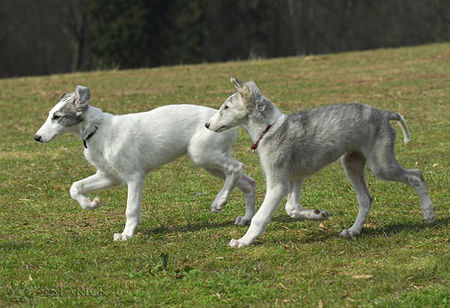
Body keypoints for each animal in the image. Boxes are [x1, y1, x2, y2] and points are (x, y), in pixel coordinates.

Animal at [33, 86, 255, 241]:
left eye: (57, 116)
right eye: (50, 115)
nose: (37, 137)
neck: (97, 129)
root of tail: (226, 123)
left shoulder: (134, 177)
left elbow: (131, 209)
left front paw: (126, 234)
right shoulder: (109, 176)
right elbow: (75, 187)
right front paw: (90, 204)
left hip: (201, 155)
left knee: (237, 168)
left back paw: (219, 202)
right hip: (210, 163)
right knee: (248, 182)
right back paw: (246, 218)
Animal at [206, 78, 434, 247]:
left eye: (226, 107)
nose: (207, 125)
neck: (270, 129)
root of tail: (384, 113)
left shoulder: (278, 183)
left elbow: (259, 217)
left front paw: (243, 241)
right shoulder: (295, 178)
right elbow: (292, 209)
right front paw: (318, 214)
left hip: (381, 165)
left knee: (416, 175)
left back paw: (429, 213)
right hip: (351, 164)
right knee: (365, 199)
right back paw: (353, 230)